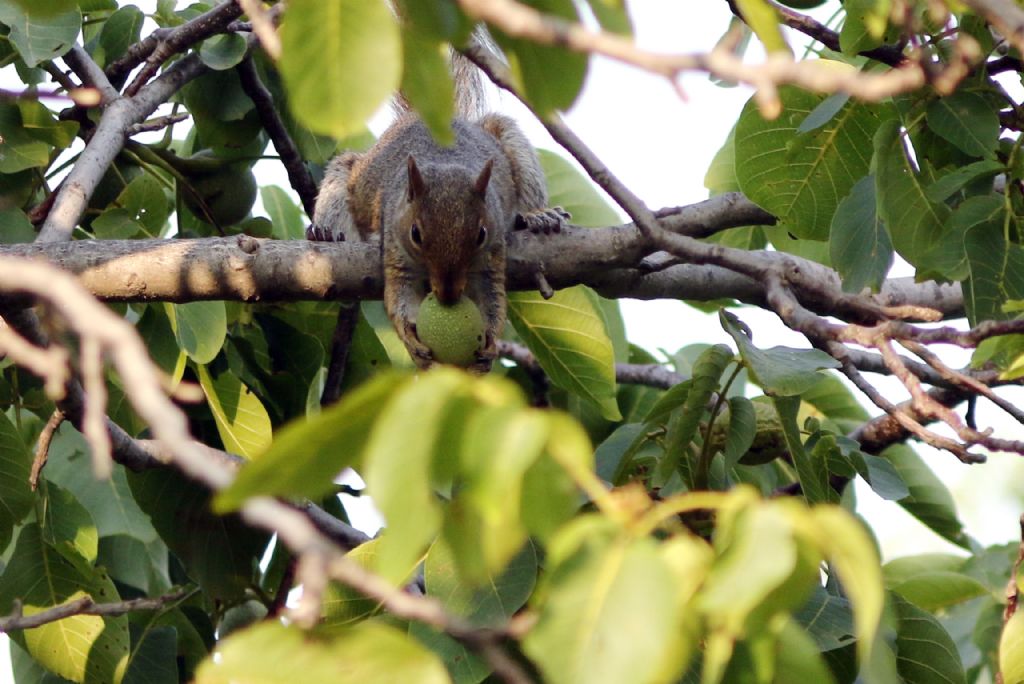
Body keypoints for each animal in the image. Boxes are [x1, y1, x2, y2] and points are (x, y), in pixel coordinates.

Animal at [307, 51, 573, 374]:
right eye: (415, 234)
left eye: (481, 234)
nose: (448, 293)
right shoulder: (396, 248)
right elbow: (400, 293)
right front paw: (412, 341)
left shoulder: (493, 252)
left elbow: (492, 295)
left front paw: (489, 346)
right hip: (343, 177)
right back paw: (327, 232)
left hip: (510, 139)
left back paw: (538, 215)